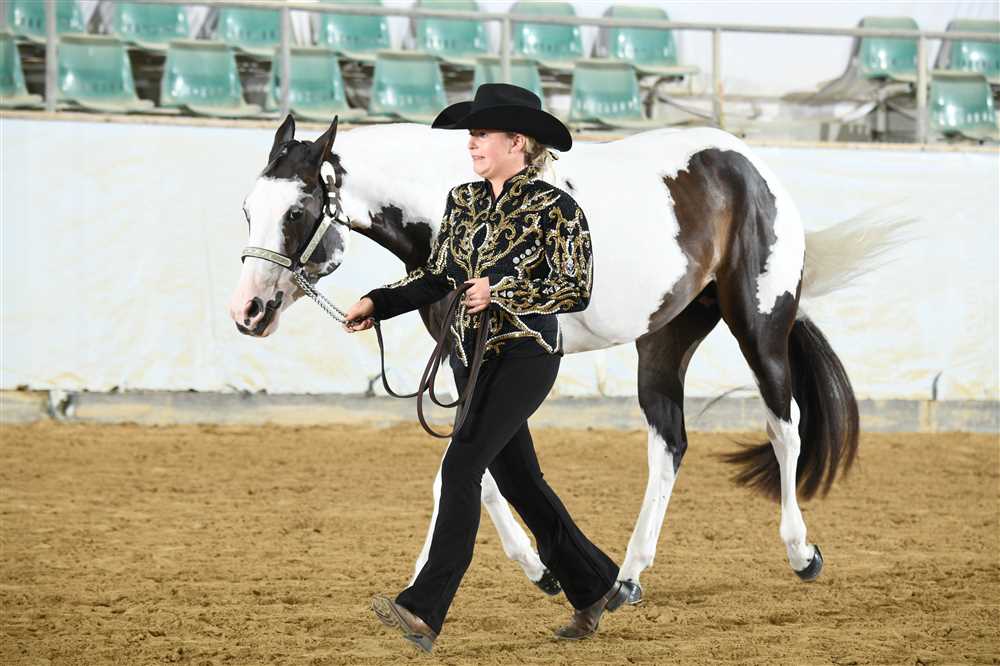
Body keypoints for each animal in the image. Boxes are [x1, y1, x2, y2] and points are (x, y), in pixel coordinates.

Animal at [229, 115, 900, 604]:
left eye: (296, 211)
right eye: (247, 209)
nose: (249, 311)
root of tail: (750, 167)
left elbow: (469, 466)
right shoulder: (464, 362)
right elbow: (482, 468)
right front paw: (528, 571)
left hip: (758, 324)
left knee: (785, 429)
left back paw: (801, 553)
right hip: (665, 337)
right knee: (670, 444)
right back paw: (627, 577)